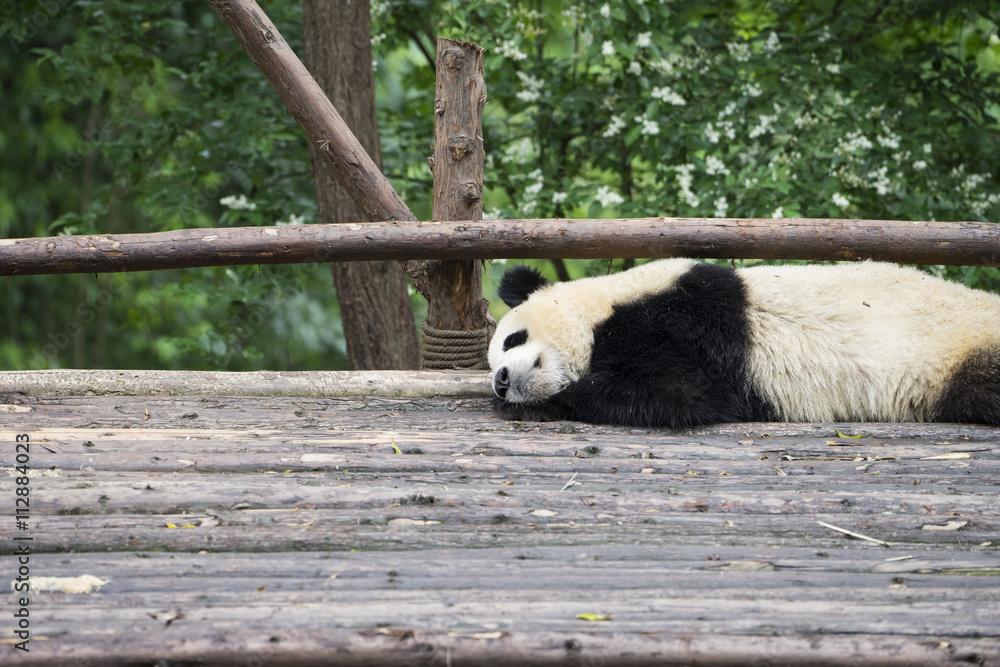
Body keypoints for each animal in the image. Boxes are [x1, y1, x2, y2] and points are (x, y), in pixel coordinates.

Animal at [488, 259, 1000, 428]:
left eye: (514, 337)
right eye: (492, 362)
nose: (501, 381)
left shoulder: (683, 317)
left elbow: (684, 394)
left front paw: (547, 403)